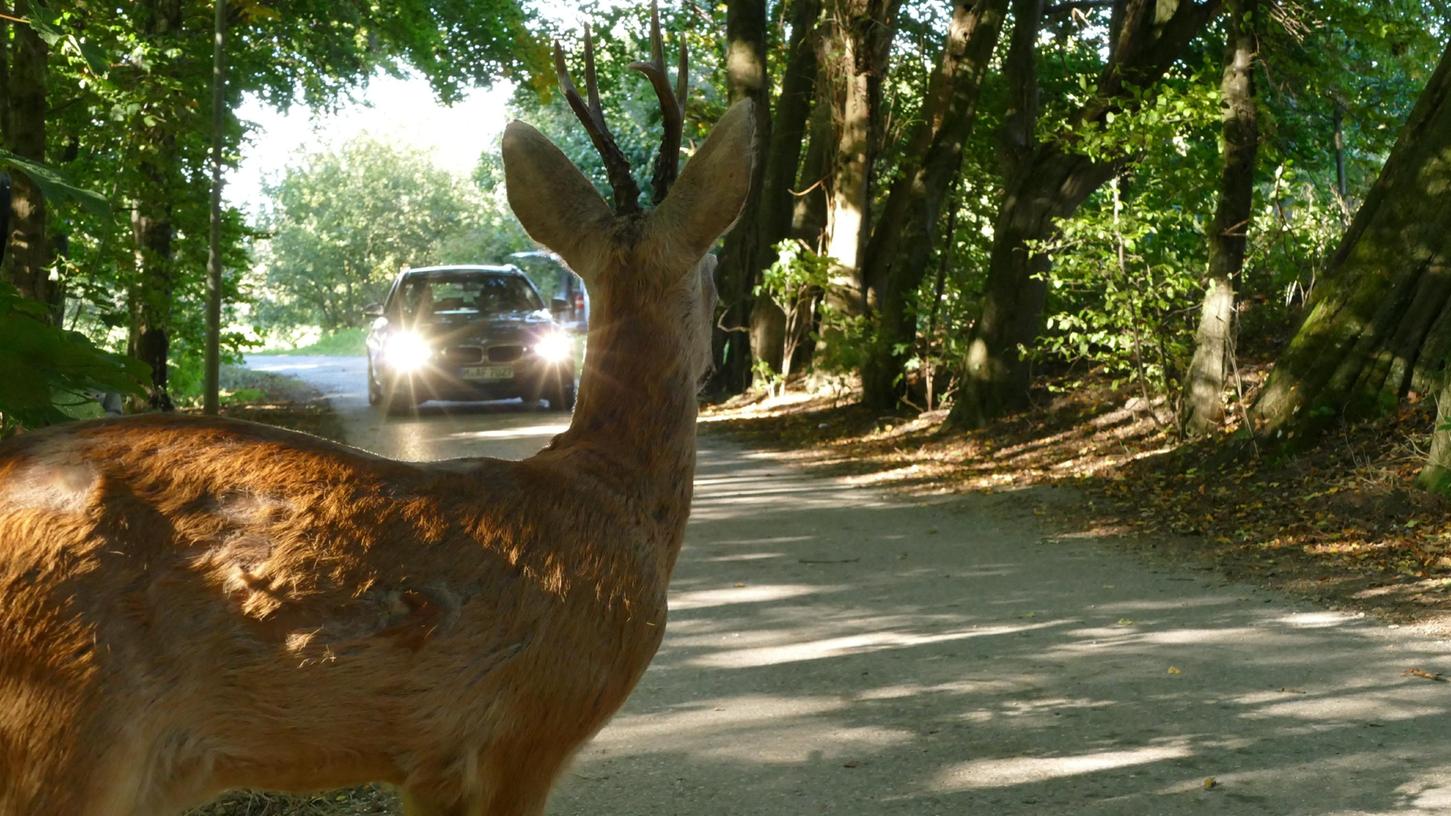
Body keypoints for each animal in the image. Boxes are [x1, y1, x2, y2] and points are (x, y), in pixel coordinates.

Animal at [0, 11, 754, 813]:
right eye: (713, 263)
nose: (724, 340)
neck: (614, 497)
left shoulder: (432, 767)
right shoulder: (526, 731)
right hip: (70, 721)